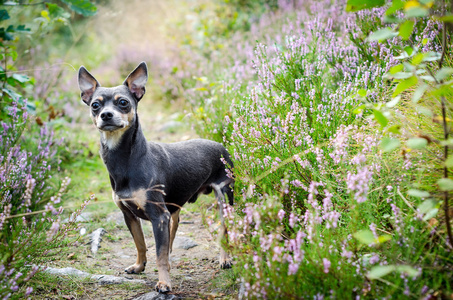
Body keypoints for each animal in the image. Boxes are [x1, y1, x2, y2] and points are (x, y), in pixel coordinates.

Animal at [77, 61, 233, 292]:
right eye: (95, 105)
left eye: (123, 103)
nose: (106, 115)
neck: (125, 160)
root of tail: (221, 146)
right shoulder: (130, 215)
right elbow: (140, 243)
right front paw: (139, 265)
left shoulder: (158, 217)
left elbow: (158, 254)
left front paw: (164, 282)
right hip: (173, 209)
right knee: (172, 232)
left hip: (224, 201)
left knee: (224, 232)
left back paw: (225, 259)